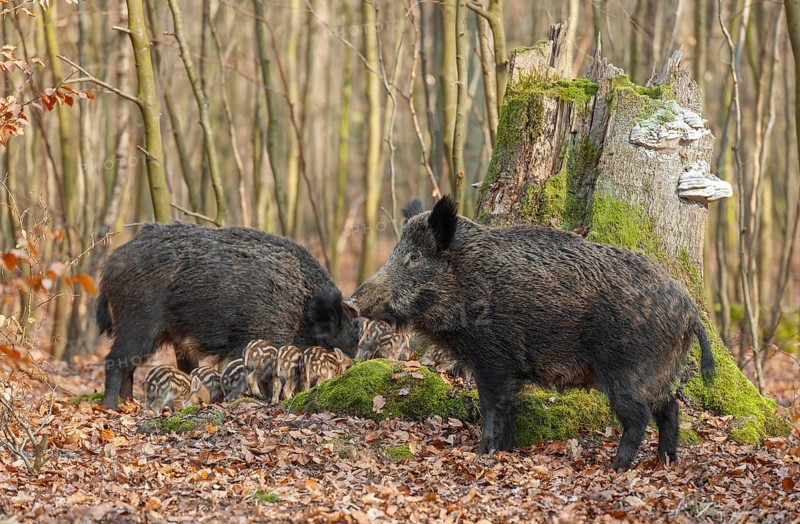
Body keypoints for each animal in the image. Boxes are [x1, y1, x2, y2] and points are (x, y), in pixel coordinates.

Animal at [96, 222, 362, 409]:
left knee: (128, 365)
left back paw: (128, 402)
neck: (301, 312)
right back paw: (111, 407)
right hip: (137, 320)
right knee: (115, 360)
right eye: (339, 342)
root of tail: (111, 263)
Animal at [345, 196, 716, 471]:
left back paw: (617, 466)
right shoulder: (505, 366)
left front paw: (480, 453)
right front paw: (505, 451)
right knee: (669, 408)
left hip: (627, 371)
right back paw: (666, 460)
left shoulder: (493, 356)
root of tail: (689, 310)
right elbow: (507, 406)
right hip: (658, 372)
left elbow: (491, 405)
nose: (350, 303)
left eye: (415, 256)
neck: (467, 281)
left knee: (640, 416)